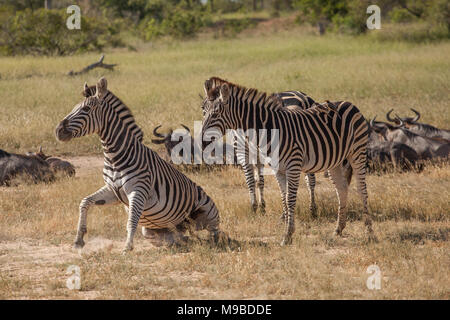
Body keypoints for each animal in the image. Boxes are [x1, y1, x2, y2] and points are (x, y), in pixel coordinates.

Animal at [55, 78, 222, 252]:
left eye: (86, 109)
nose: (58, 131)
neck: (114, 156)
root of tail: (185, 226)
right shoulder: (112, 191)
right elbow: (85, 202)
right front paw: (79, 239)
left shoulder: (138, 190)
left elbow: (131, 221)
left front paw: (127, 248)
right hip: (152, 230)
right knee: (177, 236)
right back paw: (181, 241)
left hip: (208, 210)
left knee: (215, 232)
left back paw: (212, 242)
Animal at [200, 78, 320, 216]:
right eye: (203, 109)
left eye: (215, 114)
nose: (203, 142)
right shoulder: (252, 153)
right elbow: (257, 181)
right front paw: (260, 207)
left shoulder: (247, 153)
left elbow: (254, 180)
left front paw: (256, 207)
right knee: (309, 178)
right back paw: (310, 208)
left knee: (308, 179)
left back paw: (310, 208)